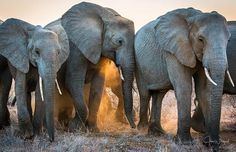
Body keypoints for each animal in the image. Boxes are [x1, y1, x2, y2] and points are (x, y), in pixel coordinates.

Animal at [59, 1, 136, 131]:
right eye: (119, 42)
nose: (134, 127)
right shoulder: (76, 49)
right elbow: (73, 82)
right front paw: (74, 127)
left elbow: (98, 85)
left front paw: (93, 129)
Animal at [134, 7, 231, 150]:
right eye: (201, 39)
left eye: (228, 41)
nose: (215, 145)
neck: (194, 18)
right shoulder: (173, 51)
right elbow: (184, 87)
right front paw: (185, 143)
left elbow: (203, 91)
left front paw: (207, 142)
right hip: (138, 63)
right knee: (145, 93)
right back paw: (142, 130)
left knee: (159, 94)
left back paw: (157, 132)